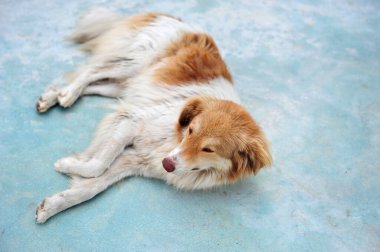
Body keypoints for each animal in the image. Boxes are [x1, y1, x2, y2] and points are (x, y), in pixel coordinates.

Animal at [35, 8, 272, 224]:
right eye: (191, 130)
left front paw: (52, 206)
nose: (167, 164)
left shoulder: (137, 160)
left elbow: (93, 186)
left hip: (123, 85)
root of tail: (180, 21)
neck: (175, 135)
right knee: (92, 71)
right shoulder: (133, 122)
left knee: (94, 85)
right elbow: (99, 165)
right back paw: (67, 94)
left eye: (209, 149)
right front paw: (67, 166)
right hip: (132, 63)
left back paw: (52, 97)